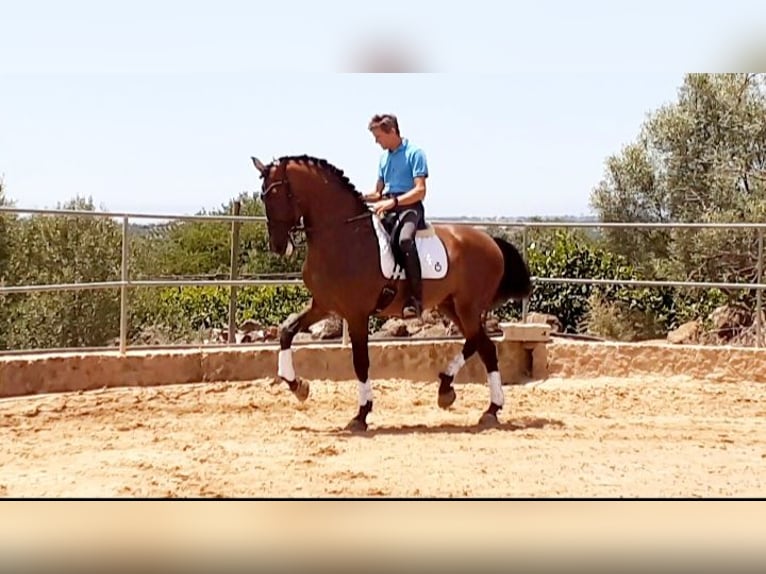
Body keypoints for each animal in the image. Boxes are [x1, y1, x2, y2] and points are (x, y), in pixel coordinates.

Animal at [252, 154, 536, 432]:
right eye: (263, 197)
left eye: (276, 194)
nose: (278, 246)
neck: (342, 236)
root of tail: (491, 241)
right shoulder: (322, 305)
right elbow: (287, 331)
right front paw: (298, 386)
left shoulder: (356, 314)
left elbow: (360, 362)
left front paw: (361, 414)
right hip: (451, 305)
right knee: (481, 345)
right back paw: (464, 398)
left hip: (468, 306)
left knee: (482, 345)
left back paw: (480, 404)